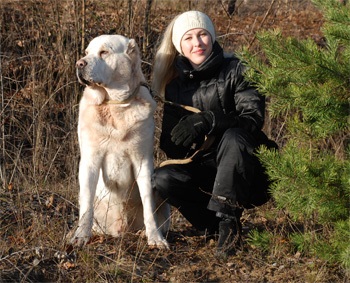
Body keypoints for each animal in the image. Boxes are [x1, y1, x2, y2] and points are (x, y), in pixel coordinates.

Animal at [69, 34, 170, 250]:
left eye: (104, 52)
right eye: (86, 52)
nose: (79, 63)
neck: (114, 105)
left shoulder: (143, 162)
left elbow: (148, 203)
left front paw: (155, 238)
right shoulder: (89, 161)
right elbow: (86, 205)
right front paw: (80, 236)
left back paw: (143, 232)